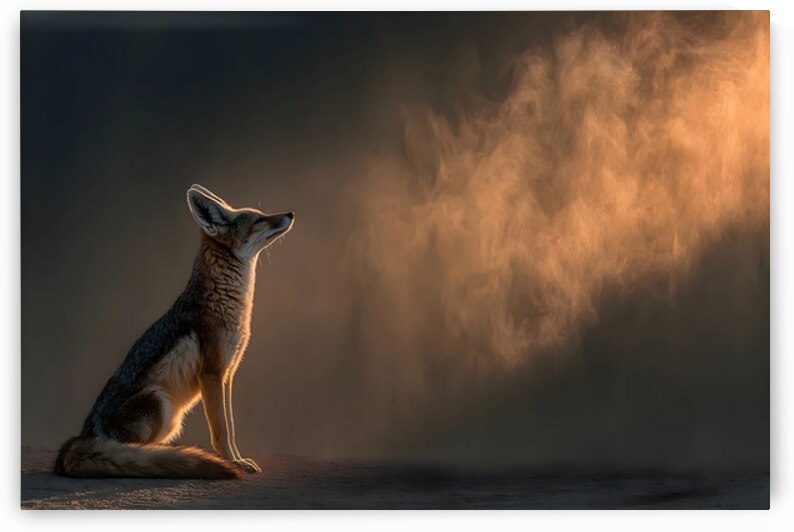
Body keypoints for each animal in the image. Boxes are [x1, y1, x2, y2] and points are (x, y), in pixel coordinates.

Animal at [54, 184, 294, 479]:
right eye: (258, 219)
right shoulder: (211, 373)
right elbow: (221, 432)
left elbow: (231, 428)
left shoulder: (227, 374)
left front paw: (238, 459)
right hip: (159, 400)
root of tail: (81, 438)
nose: (290, 213)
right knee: (135, 450)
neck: (227, 302)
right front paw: (232, 463)